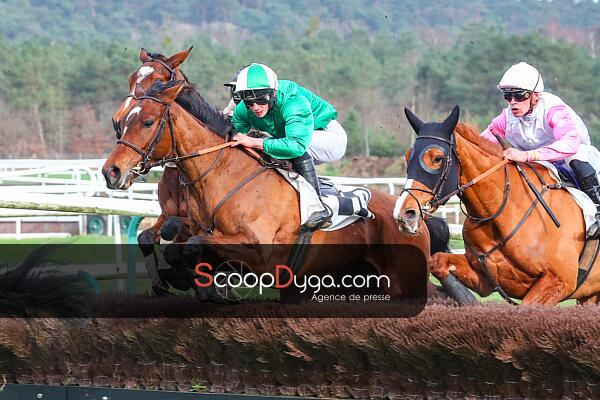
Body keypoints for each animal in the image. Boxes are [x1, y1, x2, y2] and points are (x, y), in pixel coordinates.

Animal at [103, 79, 449, 300]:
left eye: (147, 122)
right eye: (121, 122)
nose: (111, 171)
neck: (224, 175)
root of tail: (412, 217)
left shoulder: (259, 252)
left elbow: (190, 245)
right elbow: (172, 241)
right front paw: (177, 279)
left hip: (405, 281)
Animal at [395, 105, 600, 305]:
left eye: (437, 158)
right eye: (408, 156)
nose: (404, 213)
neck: (505, 211)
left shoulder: (558, 281)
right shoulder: (485, 278)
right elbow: (437, 261)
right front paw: (464, 299)